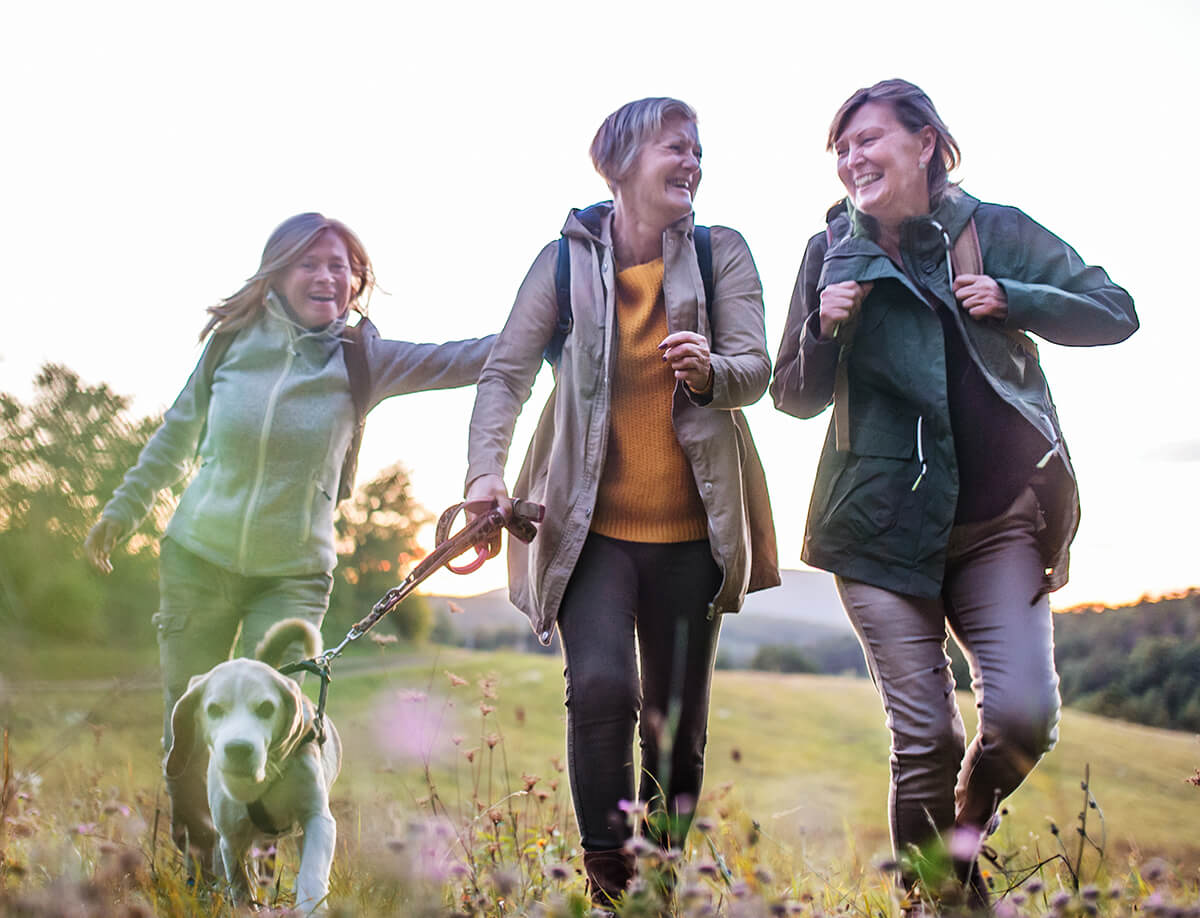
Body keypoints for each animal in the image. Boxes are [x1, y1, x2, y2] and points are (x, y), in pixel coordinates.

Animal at [166, 614, 343, 912]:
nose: (238, 749)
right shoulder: (231, 838)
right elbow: (240, 887)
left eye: (266, 708)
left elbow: (312, 871)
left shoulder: (318, 818)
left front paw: (310, 907)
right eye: (213, 710)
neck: (262, 780)